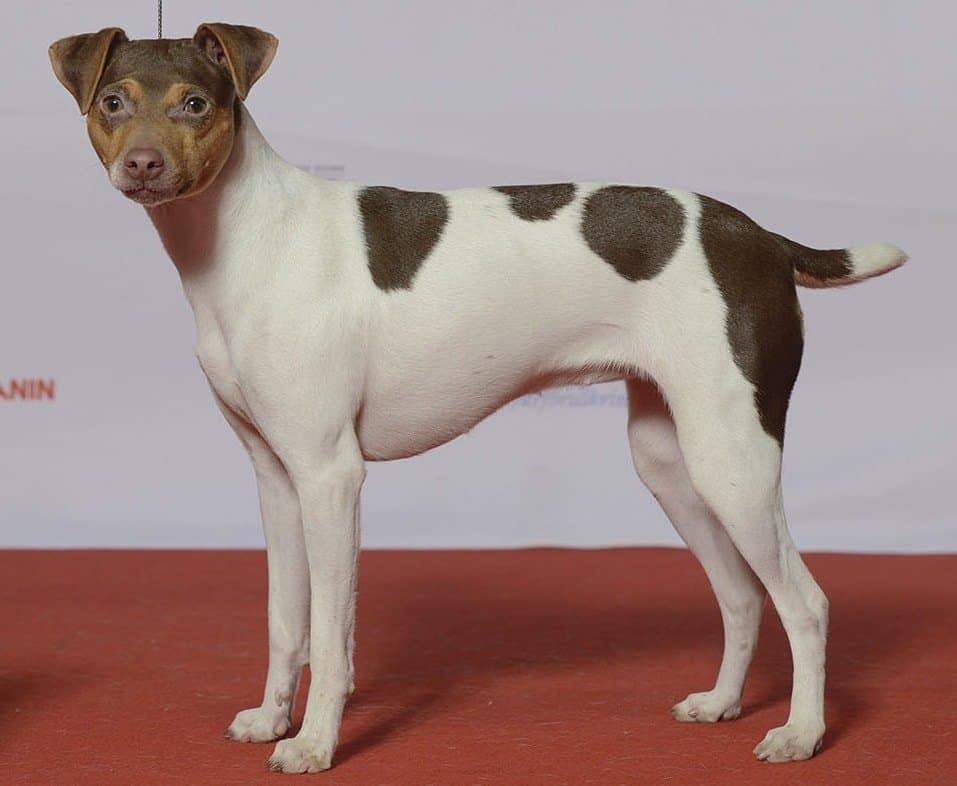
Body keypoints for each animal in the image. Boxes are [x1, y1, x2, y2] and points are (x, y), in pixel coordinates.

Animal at [50, 23, 904, 772]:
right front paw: (271, 718)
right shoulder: (276, 479)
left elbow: (330, 636)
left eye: (195, 103)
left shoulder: (330, 476)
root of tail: (762, 239)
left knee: (804, 602)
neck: (252, 239)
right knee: (741, 596)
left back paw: (800, 733)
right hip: (673, 462)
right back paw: (721, 702)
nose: (142, 167)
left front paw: (316, 744)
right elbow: (285, 621)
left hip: (733, 462)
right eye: (113, 103)